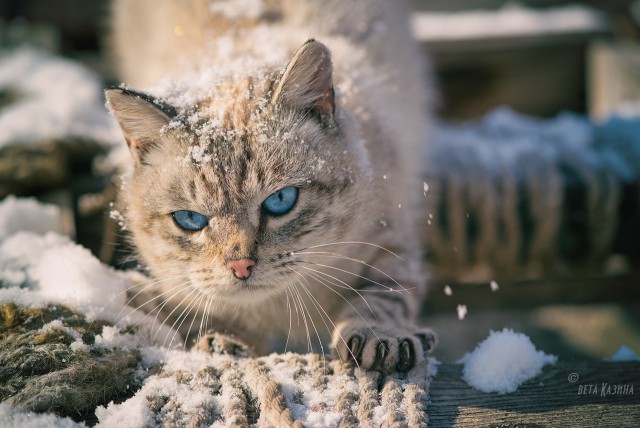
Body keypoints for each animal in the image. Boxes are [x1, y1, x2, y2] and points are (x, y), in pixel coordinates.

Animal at [106, 0, 436, 372]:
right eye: (190, 219)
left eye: (280, 200)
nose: (240, 266)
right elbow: (216, 312)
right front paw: (225, 342)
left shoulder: (389, 234)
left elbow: (384, 293)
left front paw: (380, 337)